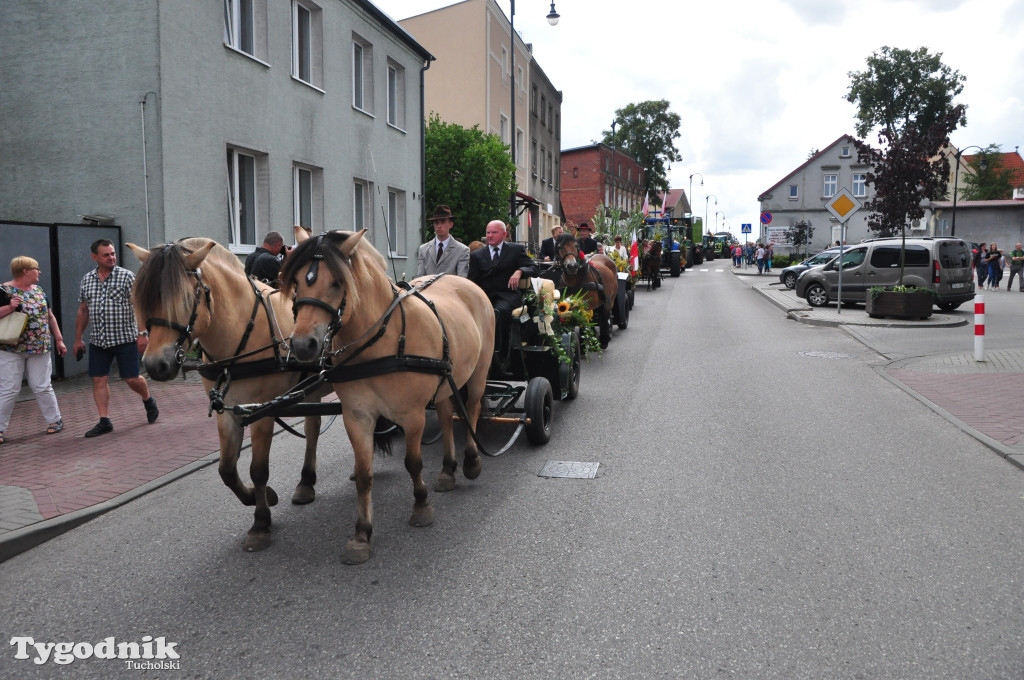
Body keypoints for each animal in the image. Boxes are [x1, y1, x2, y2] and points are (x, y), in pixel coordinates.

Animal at [128, 238, 327, 553]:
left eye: (185, 299)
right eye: (144, 300)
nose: (155, 365)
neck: (240, 334)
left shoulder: (262, 412)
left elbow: (258, 469)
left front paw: (260, 523)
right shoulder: (228, 411)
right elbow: (227, 470)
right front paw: (259, 498)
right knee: (312, 428)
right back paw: (306, 482)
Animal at [280, 228, 495, 561]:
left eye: (337, 282)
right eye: (298, 282)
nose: (303, 345)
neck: (384, 341)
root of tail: (465, 283)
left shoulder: (412, 415)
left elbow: (413, 462)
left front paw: (421, 506)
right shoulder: (357, 416)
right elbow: (363, 474)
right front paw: (361, 534)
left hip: (478, 371)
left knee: (470, 408)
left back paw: (471, 461)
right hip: (446, 382)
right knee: (447, 416)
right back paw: (447, 470)